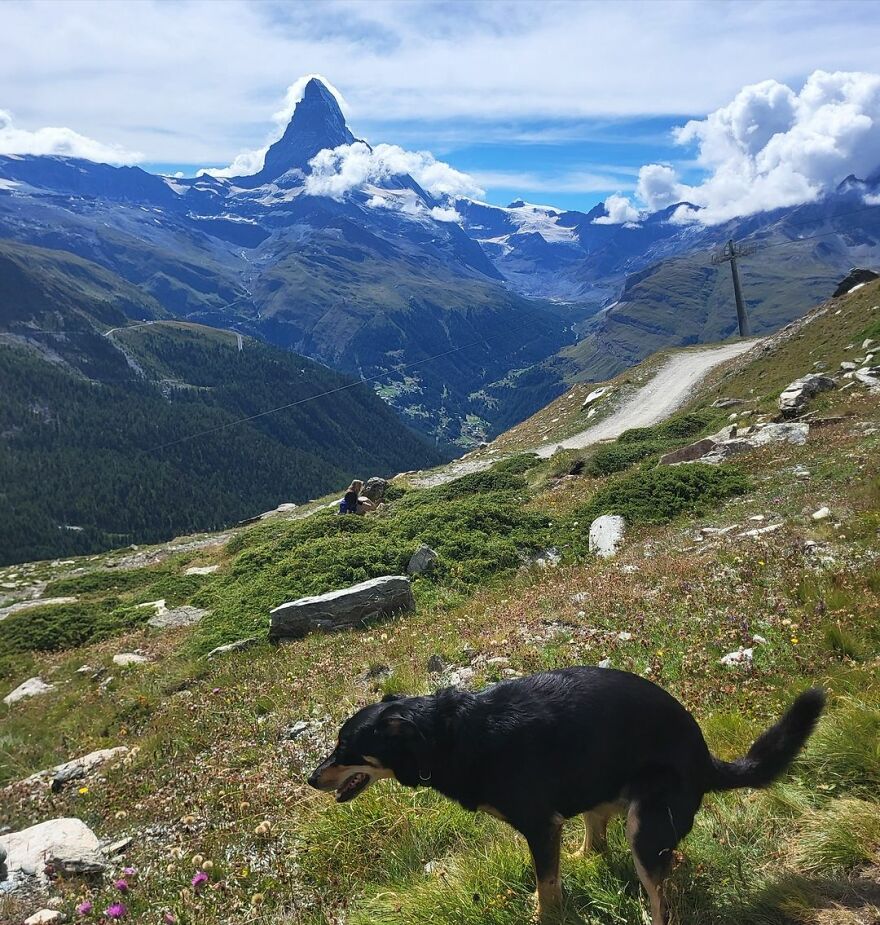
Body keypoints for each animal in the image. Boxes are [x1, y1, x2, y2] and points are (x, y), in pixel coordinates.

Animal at [310, 668, 824, 920]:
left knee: (661, 900)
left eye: (344, 748)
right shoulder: (551, 826)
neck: (446, 735)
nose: (312, 779)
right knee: (595, 840)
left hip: (647, 827)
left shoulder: (540, 826)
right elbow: (552, 877)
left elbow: (547, 889)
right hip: (596, 790)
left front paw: (546, 916)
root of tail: (704, 757)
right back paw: (584, 856)